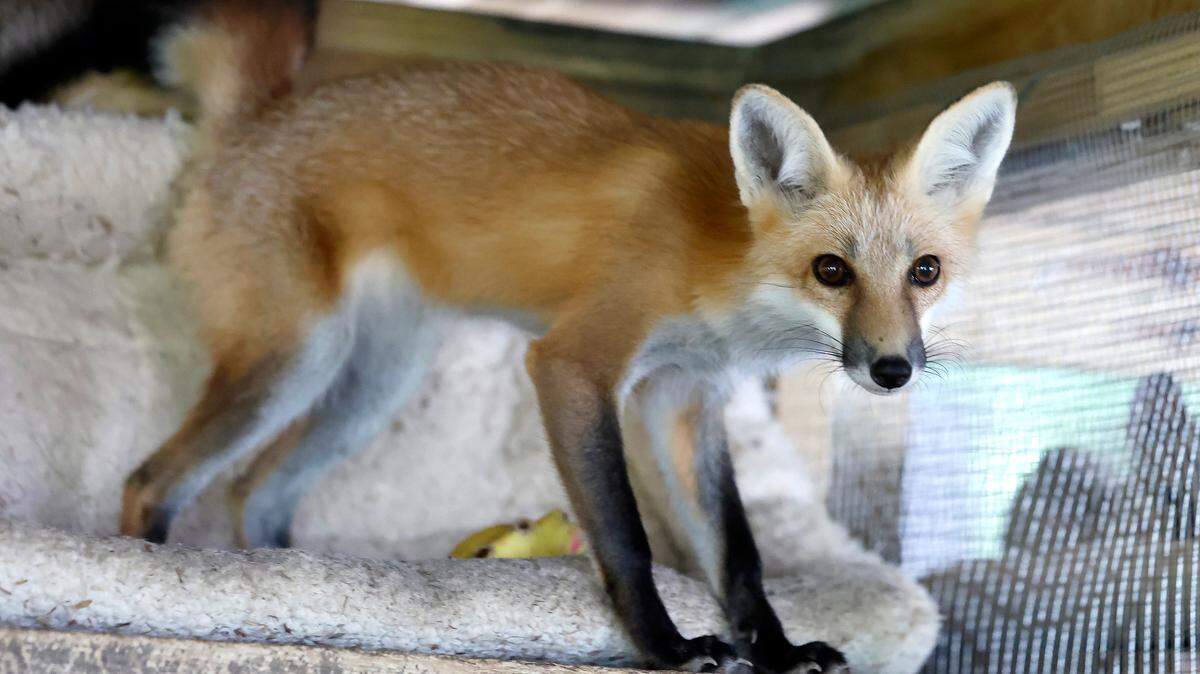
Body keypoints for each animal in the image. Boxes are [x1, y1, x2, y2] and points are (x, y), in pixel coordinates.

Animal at [118, 8, 1016, 673]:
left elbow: (739, 554)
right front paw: (665, 646)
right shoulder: (575, 362)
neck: (718, 264)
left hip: (372, 385)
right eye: (832, 270)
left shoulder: (680, 396)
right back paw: (150, 579)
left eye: (925, 272)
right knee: (152, 479)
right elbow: (627, 536)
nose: (893, 369)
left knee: (256, 491)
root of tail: (258, 120)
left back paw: (299, 584)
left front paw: (777, 650)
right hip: (294, 363)